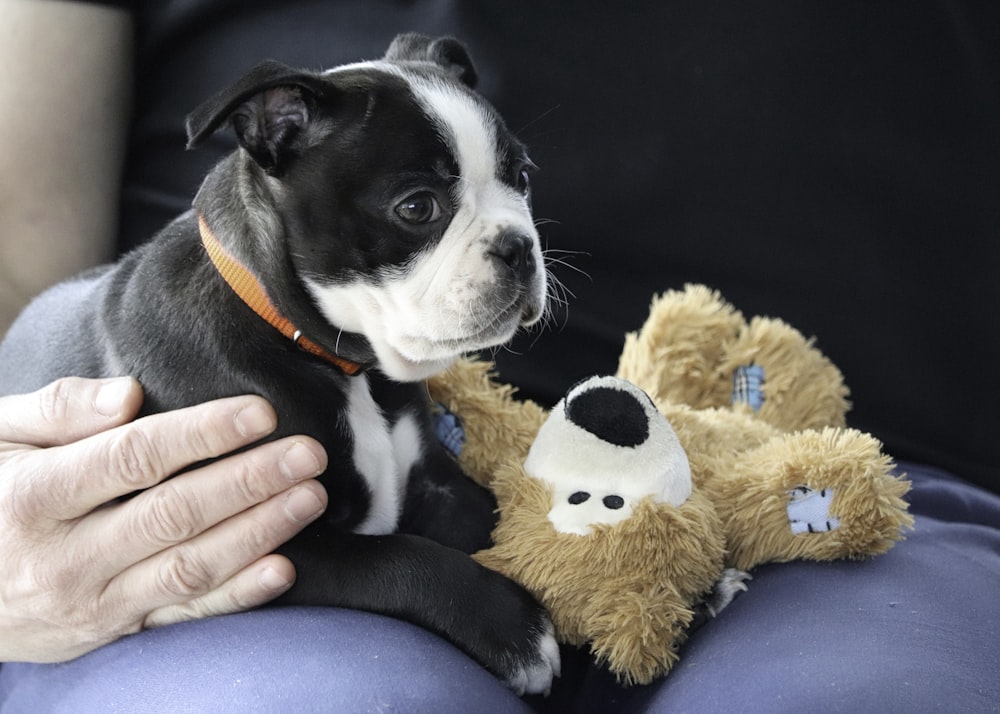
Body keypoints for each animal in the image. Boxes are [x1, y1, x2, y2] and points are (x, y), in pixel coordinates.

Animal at [0, 36, 556, 692]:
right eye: (418, 207)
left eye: (523, 179)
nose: (519, 247)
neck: (335, 360)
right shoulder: (264, 543)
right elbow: (402, 558)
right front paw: (515, 627)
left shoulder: (432, 480)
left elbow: (485, 516)